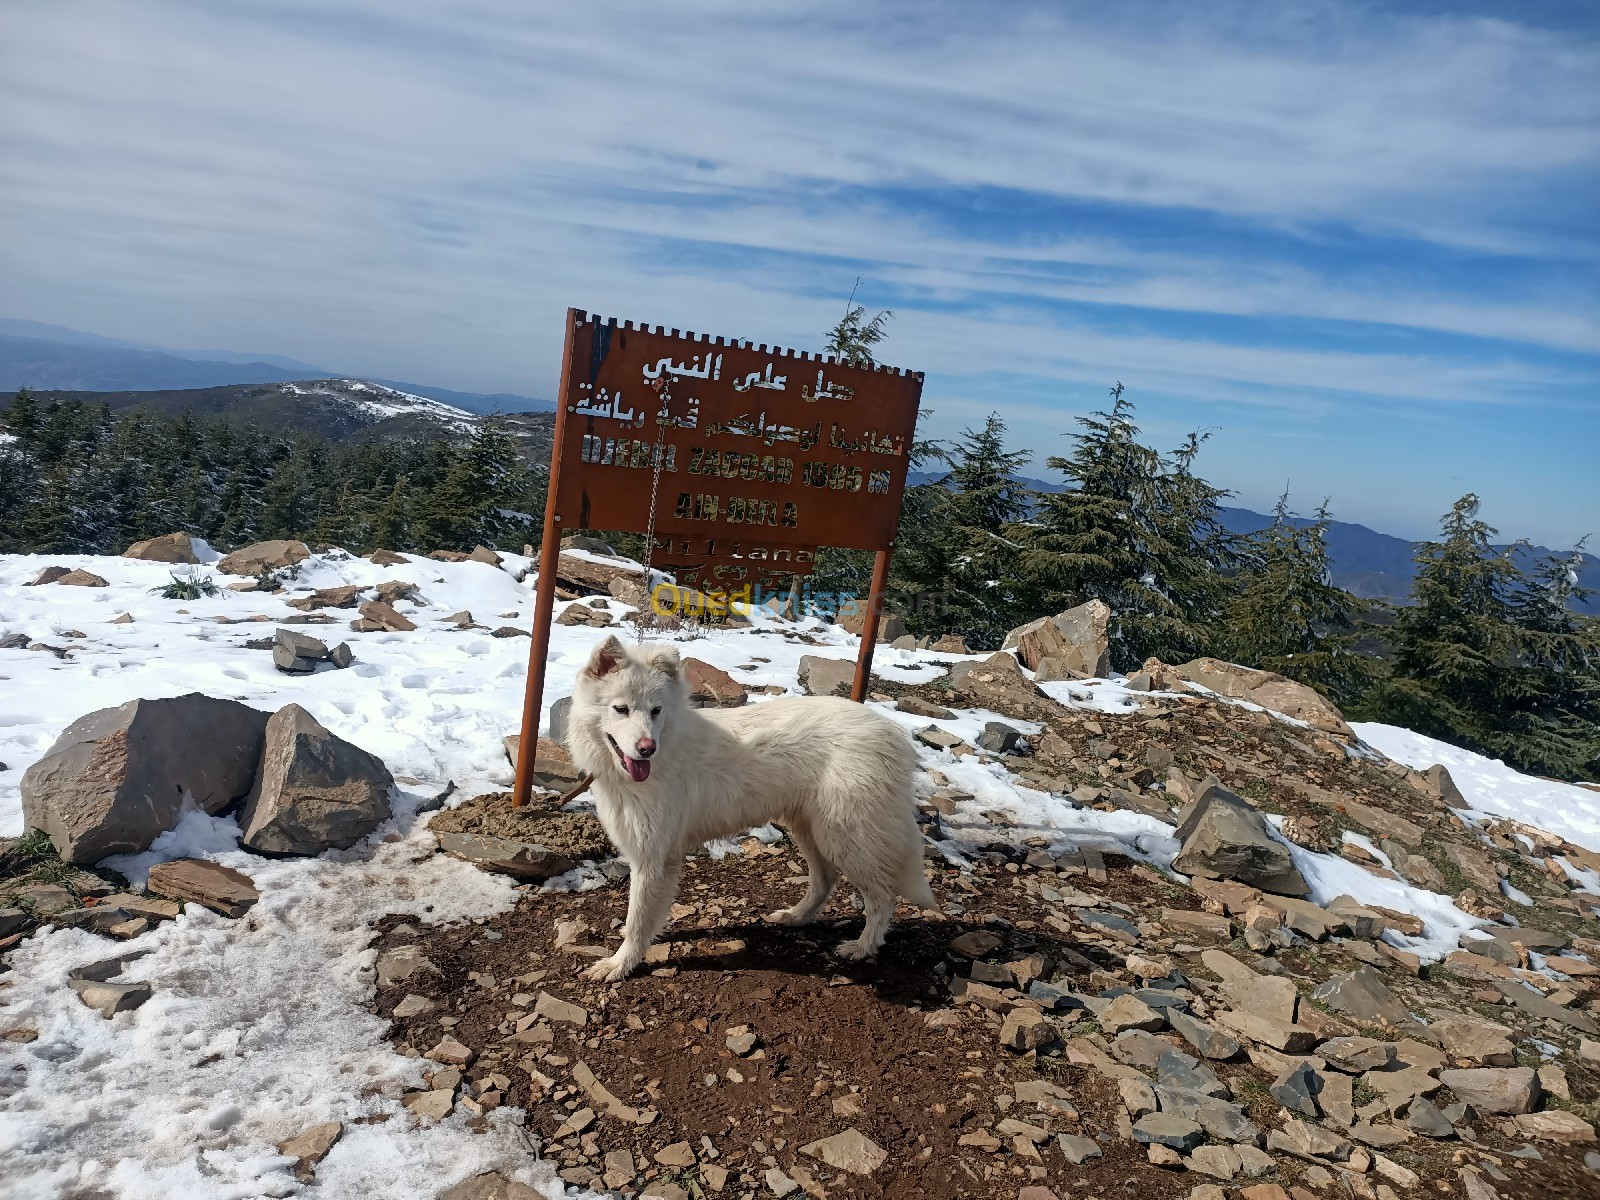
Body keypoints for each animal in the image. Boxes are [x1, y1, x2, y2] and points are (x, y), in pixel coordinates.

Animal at [566, 633, 934, 979]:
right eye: (621, 709)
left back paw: (862, 947)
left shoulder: (653, 858)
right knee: (825, 880)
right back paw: (795, 917)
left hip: (846, 838)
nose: (647, 748)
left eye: (656, 711)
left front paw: (619, 965)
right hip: (808, 829)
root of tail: (891, 733)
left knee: (882, 897)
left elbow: (638, 919)